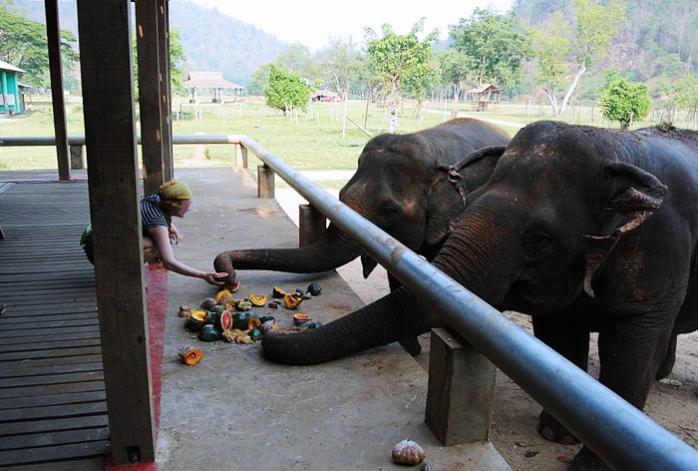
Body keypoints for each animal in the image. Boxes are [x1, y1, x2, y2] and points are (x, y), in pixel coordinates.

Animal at [213, 118, 509, 354]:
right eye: (340, 194)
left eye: (390, 210)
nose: (228, 274)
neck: (429, 147)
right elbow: (400, 278)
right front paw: (411, 348)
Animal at [261, 121, 698, 470]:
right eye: (339, 194)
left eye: (389, 211)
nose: (272, 336)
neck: (615, 151)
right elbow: (559, 330)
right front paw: (556, 436)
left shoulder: (659, 249)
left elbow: (629, 348)